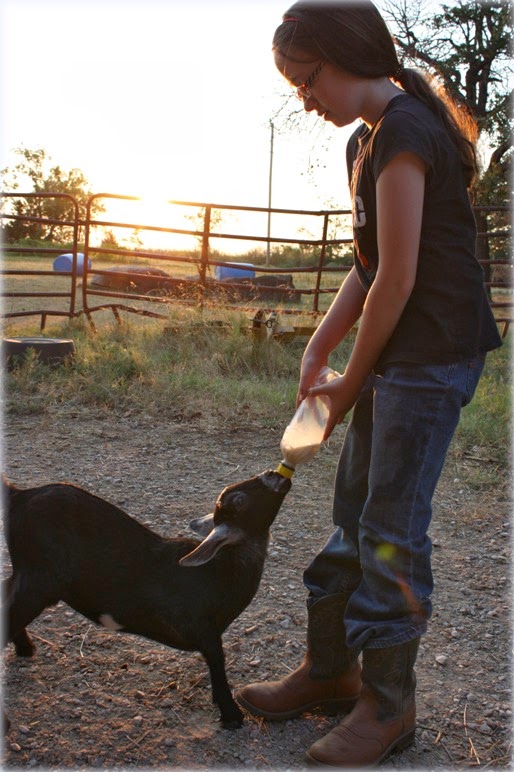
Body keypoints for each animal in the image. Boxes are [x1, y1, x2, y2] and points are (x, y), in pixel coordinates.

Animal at [2, 470, 290, 728]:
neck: (219, 572)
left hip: (29, 575)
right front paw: (232, 715)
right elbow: (218, 663)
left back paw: (25, 648)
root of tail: (19, 496)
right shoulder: (203, 630)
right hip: (40, 580)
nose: (275, 475)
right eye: (239, 500)